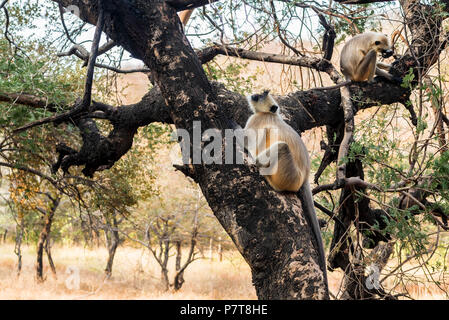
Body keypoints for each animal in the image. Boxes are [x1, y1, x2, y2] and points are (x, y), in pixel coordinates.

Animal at [243, 90, 328, 282]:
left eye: (259, 96)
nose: (253, 95)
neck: (272, 115)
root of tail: (305, 176)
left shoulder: (257, 119)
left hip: (289, 175)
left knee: (280, 147)